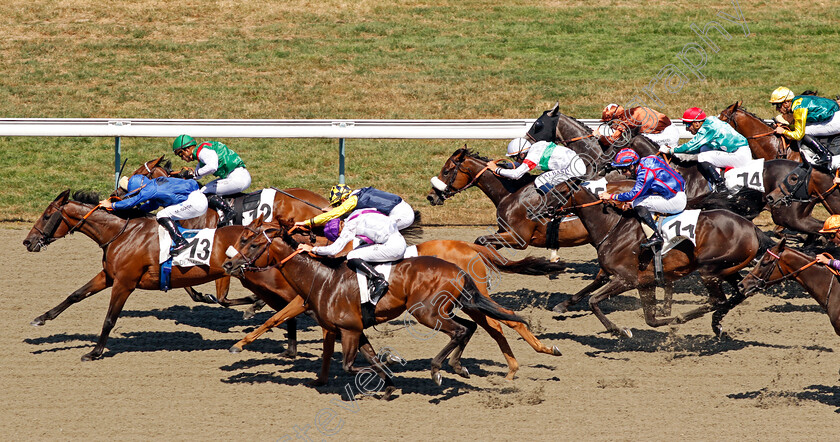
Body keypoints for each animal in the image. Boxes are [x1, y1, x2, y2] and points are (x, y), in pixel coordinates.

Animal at [24, 189, 310, 360]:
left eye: (47, 216)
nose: (28, 242)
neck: (122, 233)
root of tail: (266, 235)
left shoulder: (124, 282)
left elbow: (109, 319)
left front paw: (95, 352)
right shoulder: (109, 275)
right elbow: (75, 295)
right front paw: (41, 318)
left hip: (262, 278)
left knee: (292, 302)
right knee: (284, 307)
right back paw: (289, 348)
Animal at [220, 219, 528, 396]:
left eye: (252, 243)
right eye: (243, 239)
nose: (228, 263)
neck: (321, 277)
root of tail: (459, 268)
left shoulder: (349, 329)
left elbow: (349, 365)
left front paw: (391, 364)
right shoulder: (351, 329)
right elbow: (362, 358)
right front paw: (388, 384)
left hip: (426, 312)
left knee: (464, 330)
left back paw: (439, 368)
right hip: (445, 309)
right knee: (471, 327)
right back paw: (457, 366)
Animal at [552, 178, 776, 336]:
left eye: (561, 191)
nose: (547, 210)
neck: (613, 228)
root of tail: (752, 228)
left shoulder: (626, 279)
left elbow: (593, 300)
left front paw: (619, 330)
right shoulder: (644, 283)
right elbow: (650, 319)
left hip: (709, 270)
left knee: (718, 299)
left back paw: (689, 317)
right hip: (729, 268)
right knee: (740, 291)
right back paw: (715, 324)